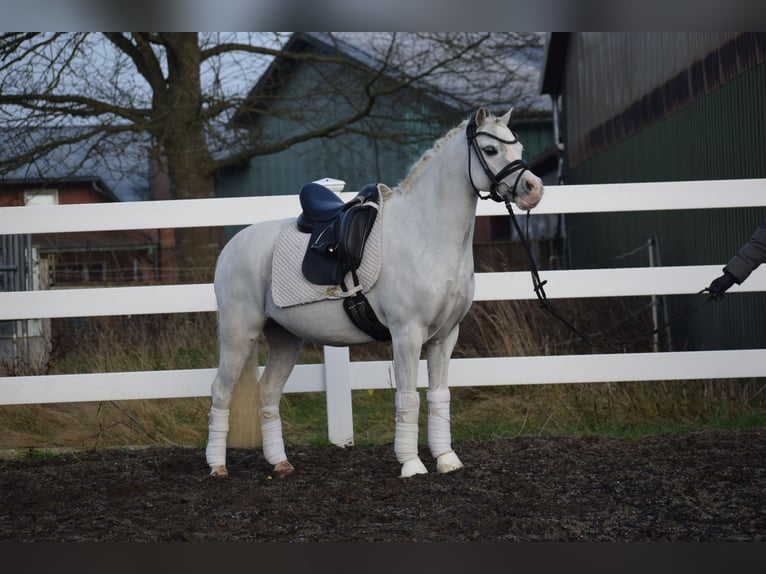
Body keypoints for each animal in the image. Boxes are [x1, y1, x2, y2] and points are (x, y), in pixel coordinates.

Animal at [205, 107, 544, 478]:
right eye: (490, 150)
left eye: (520, 146)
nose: (533, 189)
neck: (426, 236)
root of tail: (232, 247)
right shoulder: (407, 334)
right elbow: (408, 397)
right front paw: (411, 464)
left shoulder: (444, 337)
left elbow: (439, 395)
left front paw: (446, 459)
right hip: (240, 334)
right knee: (221, 391)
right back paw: (217, 467)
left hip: (285, 337)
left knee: (268, 391)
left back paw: (280, 463)